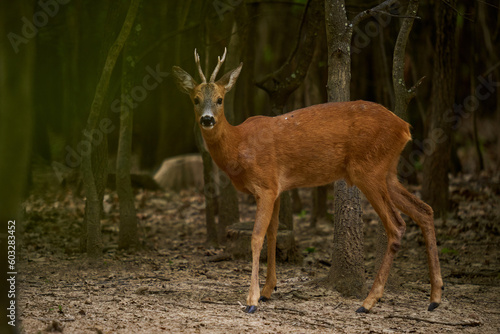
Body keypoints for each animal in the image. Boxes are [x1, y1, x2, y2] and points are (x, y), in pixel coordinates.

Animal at [171, 48, 442, 314]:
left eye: (220, 99)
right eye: (195, 99)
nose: (207, 119)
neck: (239, 145)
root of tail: (405, 127)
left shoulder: (266, 184)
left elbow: (256, 237)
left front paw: (252, 300)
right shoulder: (278, 188)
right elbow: (273, 233)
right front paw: (269, 289)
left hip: (368, 169)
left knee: (397, 225)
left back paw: (368, 302)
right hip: (387, 171)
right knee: (425, 210)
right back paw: (434, 298)